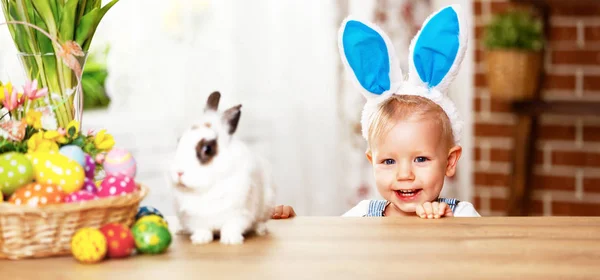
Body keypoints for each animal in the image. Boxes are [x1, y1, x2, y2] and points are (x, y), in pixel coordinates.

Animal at [169, 92, 276, 245]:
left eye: (207, 149)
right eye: (179, 141)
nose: (178, 172)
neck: (208, 188)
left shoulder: (239, 213)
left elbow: (231, 227)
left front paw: (231, 240)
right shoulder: (193, 217)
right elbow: (202, 228)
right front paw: (201, 240)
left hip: (267, 205)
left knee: (260, 221)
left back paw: (261, 230)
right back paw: (181, 230)